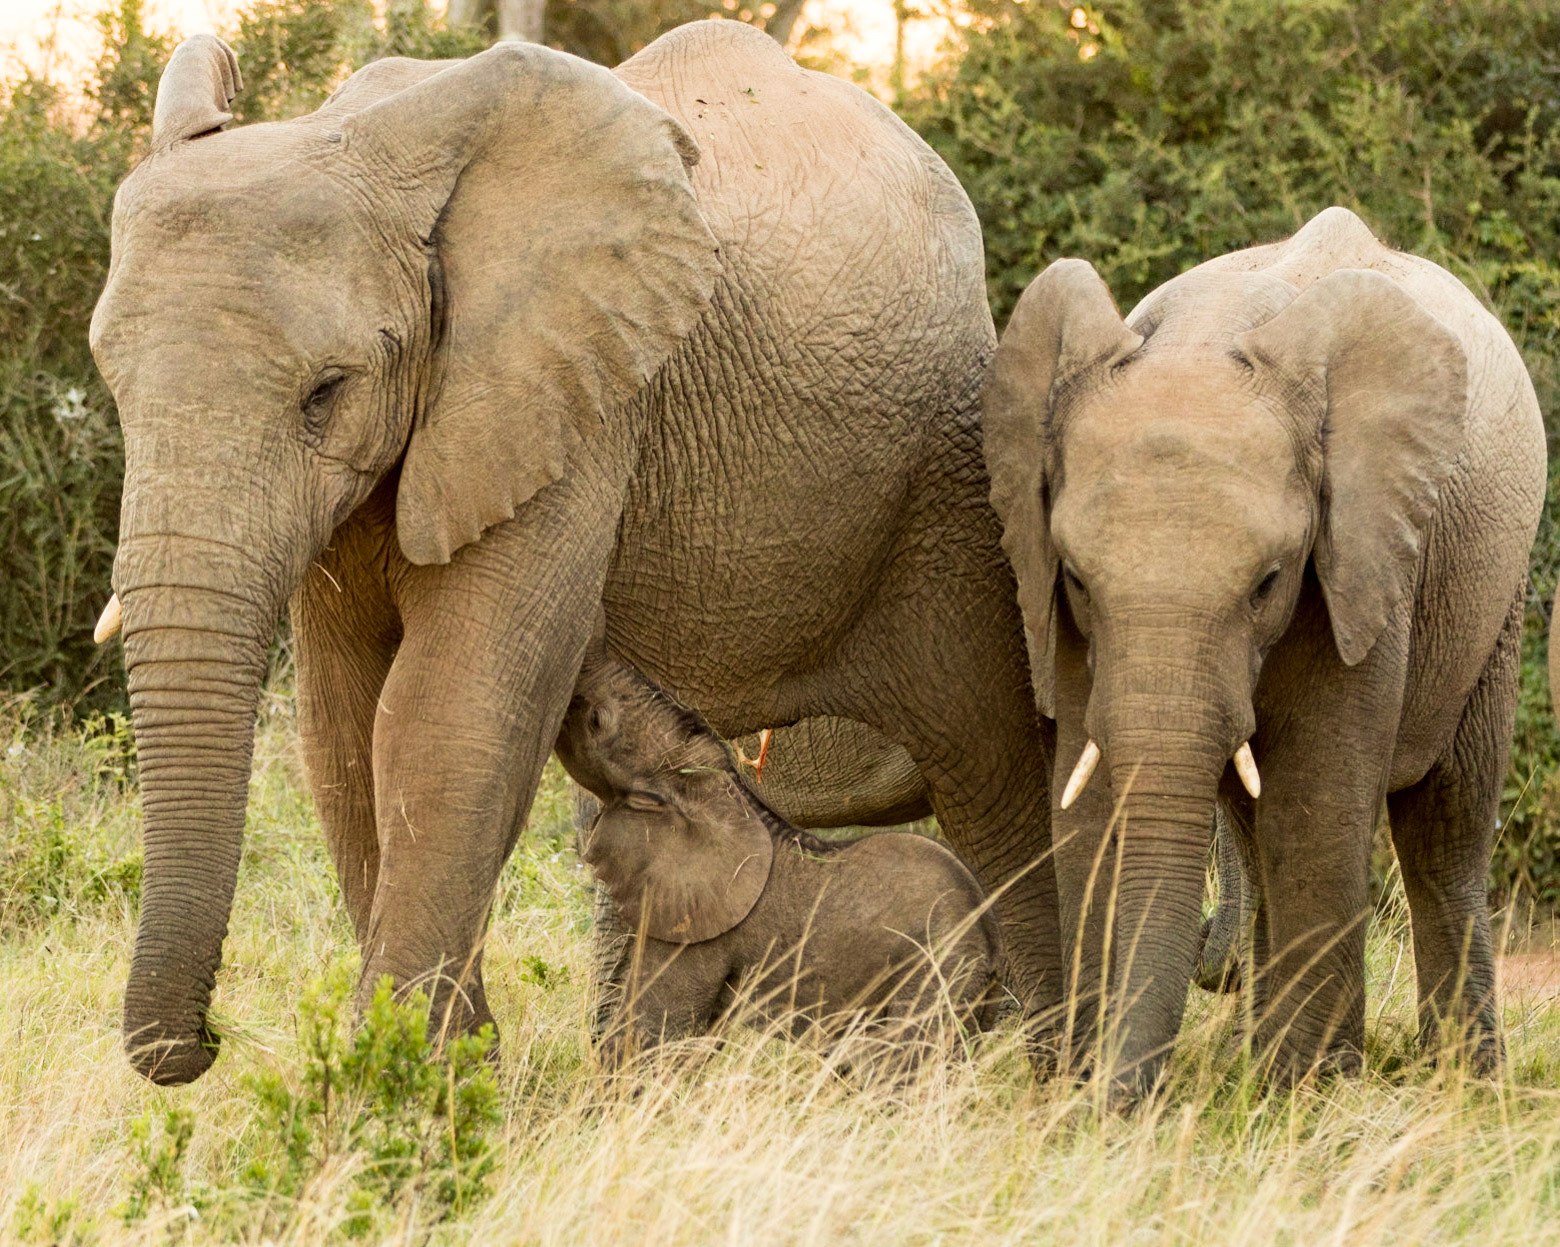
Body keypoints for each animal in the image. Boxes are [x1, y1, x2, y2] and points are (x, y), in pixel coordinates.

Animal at [554, 646, 1005, 1069]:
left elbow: (655, 1028)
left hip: (937, 973)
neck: (721, 793)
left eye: (597, 720)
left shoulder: (700, 929)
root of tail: (991, 947)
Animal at [983, 206, 1546, 1092]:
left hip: (1495, 595)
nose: (1123, 1097)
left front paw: (1305, 1096)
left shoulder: (1362, 557)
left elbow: (1318, 799)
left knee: (1444, 832)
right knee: (1261, 828)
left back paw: (1465, 1085)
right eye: (1075, 577)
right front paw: (1087, 1089)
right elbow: (1089, 796)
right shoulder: (1056, 602)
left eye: (1268, 582)